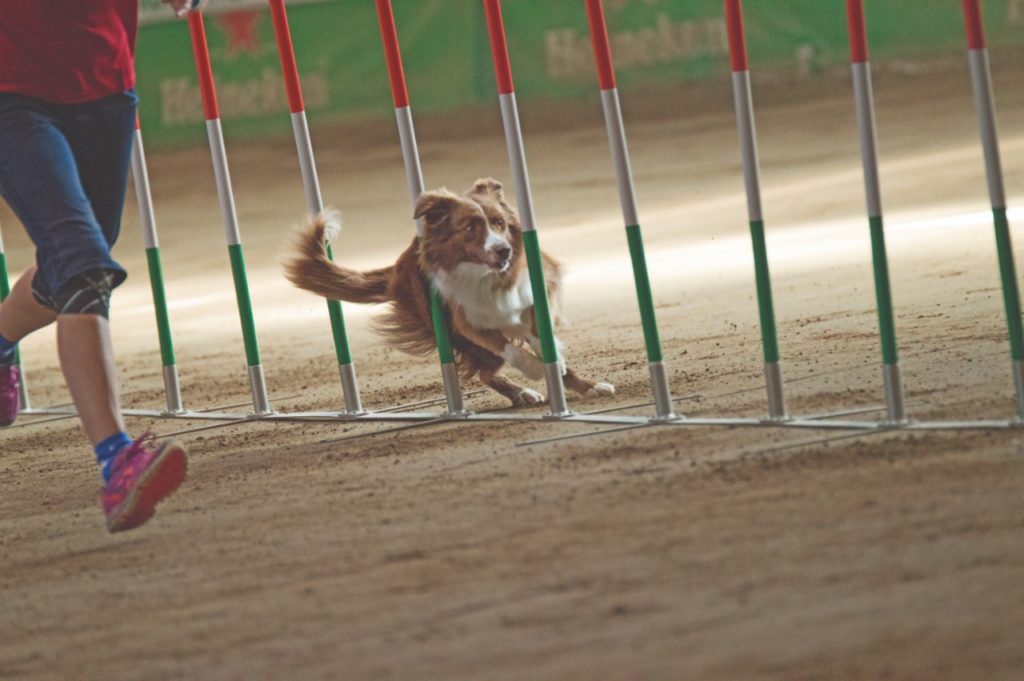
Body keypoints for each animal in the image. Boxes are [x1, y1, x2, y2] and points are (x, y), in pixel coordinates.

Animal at [282, 178, 614, 405]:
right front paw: (534, 366)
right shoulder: (466, 322)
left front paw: (553, 353)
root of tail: (399, 265)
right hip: (454, 334)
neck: (487, 277)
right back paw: (522, 392)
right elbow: (507, 347)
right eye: (470, 227)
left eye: (499, 223)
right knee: (486, 371)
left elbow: (537, 331)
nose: (503, 250)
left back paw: (590, 386)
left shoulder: (540, 288)